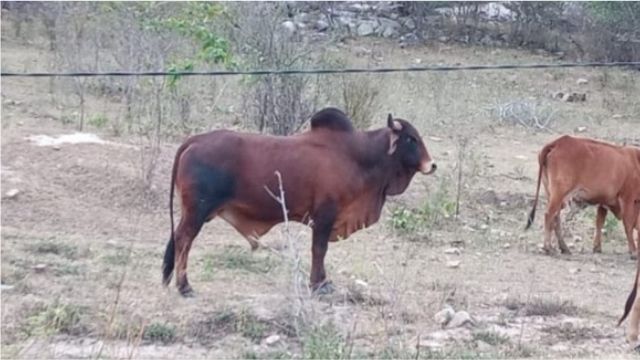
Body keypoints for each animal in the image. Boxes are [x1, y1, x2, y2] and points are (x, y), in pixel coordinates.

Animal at [162, 108, 438, 296]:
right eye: (411, 139)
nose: (432, 165)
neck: (359, 155)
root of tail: (195, 140)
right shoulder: (325, 215)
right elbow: (319, 249)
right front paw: (317, 285)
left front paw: (324, 281)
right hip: (197, 211)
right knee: (184, 240)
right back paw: (184, 286)